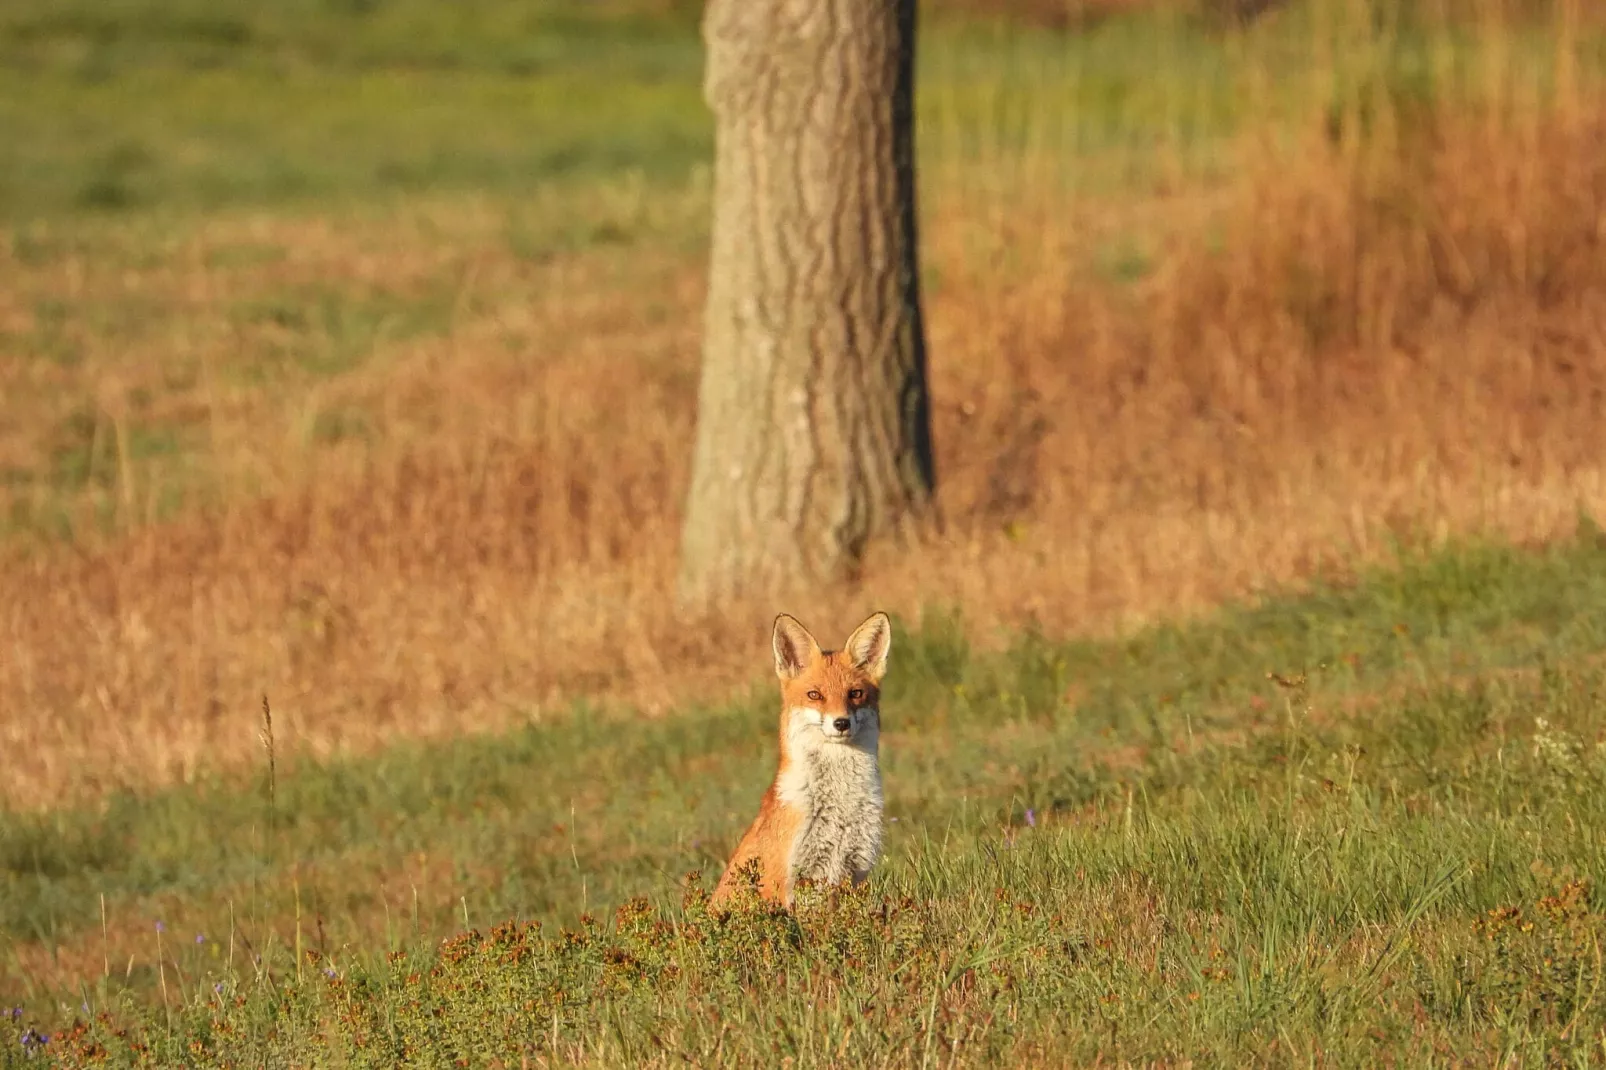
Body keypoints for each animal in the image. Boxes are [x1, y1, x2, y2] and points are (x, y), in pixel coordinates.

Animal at [713, 607, 899, 906]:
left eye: (856, 694)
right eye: (815, 695)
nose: (841, 723)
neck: (840, 806)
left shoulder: (854, 870)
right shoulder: (784, 880)